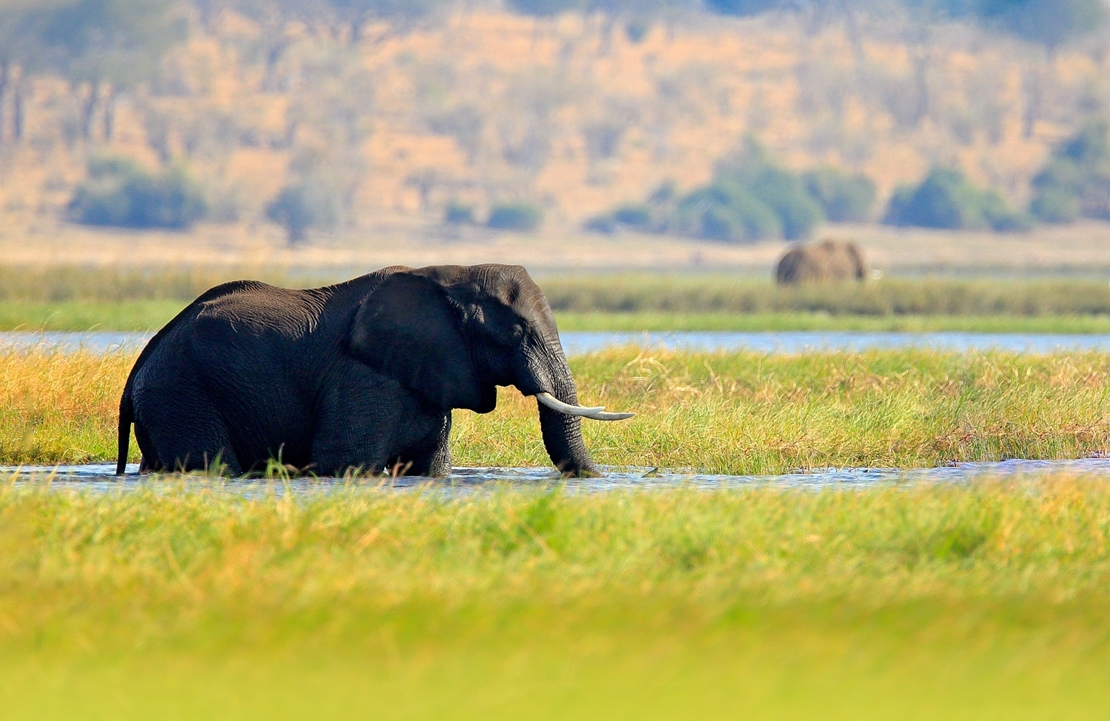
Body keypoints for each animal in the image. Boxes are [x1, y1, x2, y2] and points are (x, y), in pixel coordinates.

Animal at [118, 263, 634, 476]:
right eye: (516, 332)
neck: (451, 276)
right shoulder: (363, 377)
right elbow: (343, 461)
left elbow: (430, 465)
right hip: (182, 392)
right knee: (210, 462)